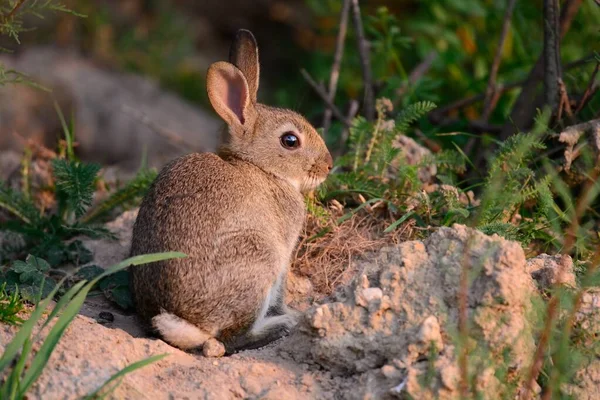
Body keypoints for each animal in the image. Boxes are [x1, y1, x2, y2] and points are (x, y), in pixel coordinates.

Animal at [129, 30, 332, 356]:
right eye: (290, 140)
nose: (328, 165)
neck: (260, 167)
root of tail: (188, 323)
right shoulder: (282, 253)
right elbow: (280, 294)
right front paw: (289, 310)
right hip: (258, 261)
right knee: (231, 338)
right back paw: (284, 324)